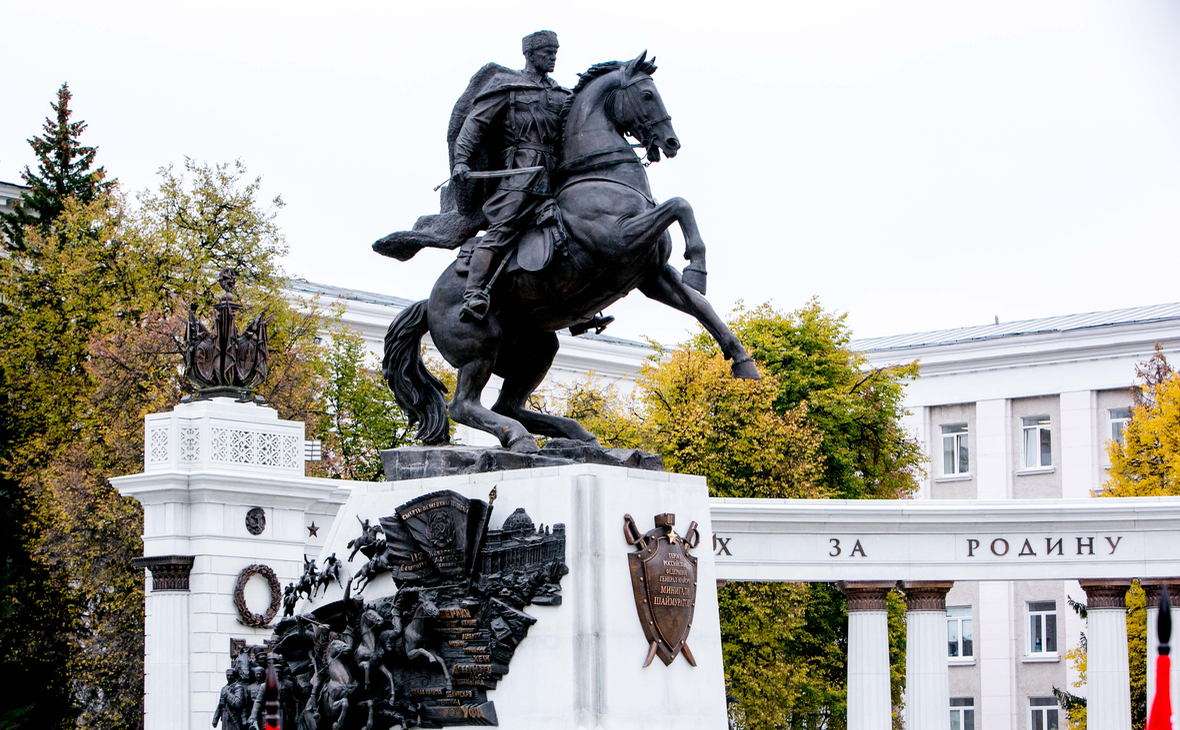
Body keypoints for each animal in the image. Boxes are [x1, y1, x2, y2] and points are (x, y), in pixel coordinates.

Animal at [382, 51, 759, 450]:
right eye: (646, 95)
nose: (671, 143)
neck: (601, 175)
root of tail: (428, 304)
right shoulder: (621, 239)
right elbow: (680, 204)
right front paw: (697, 266)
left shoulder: (651, 275)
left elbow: (700, 305)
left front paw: (742, 361)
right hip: (480, 348)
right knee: (464, 405)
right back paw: (520, 436)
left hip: (536, 348)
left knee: (507, 404)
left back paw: (577, 434)